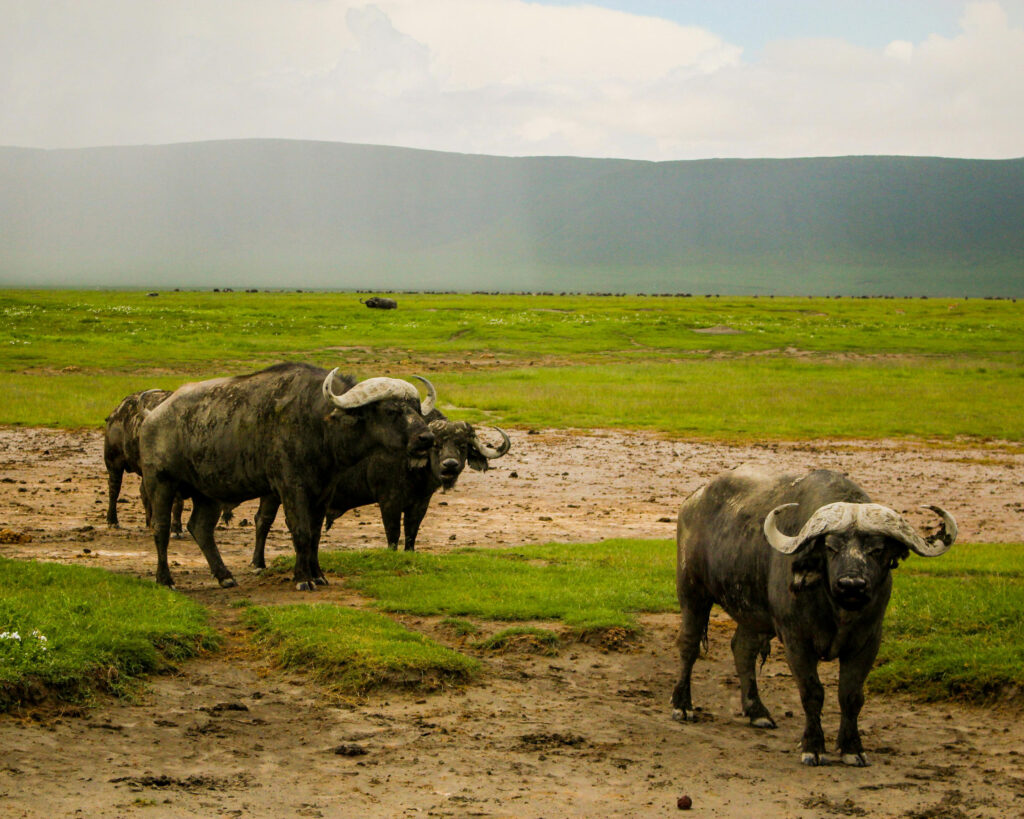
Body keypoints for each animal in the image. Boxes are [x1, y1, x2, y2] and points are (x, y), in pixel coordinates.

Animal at [139, 362, 436, 590]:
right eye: (391, 410)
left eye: (416, 407)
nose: (426, 438)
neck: (318, 422)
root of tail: (152, 416)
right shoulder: (291, 487)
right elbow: (301, 531)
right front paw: (302, 578)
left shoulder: (323, 490)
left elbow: (315, 534)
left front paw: (318, 574)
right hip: (160, 483)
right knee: (161, 527)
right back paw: (165, 579)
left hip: (208, 491)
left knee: (200, 528)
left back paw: (225, 577)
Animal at [672, 466, 956, 766]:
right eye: (830, 547)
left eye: (877, 549)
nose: (851, 584)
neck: (838, 612)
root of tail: (692, 501)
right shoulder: (797, 640)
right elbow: (812, 692)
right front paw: (813, 746)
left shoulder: (867, 642)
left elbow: (851, 695)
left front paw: (852, 748)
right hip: (693, 592)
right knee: (689, 645)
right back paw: (682, 705)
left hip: (753, 613)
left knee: (743, 649)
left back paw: (757, 712)